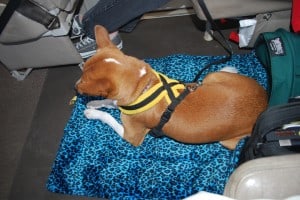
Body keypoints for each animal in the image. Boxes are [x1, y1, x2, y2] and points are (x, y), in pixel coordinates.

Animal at [76, 25, 268, 149]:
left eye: (83, 81)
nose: (75, 87)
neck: (144, 87)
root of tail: (265, 101)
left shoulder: (131, 136)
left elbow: (108, 117)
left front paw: (92, 112)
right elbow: (110, 102)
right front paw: (94, 104)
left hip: (225, 141)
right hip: (212, 77)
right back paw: (226, 69)